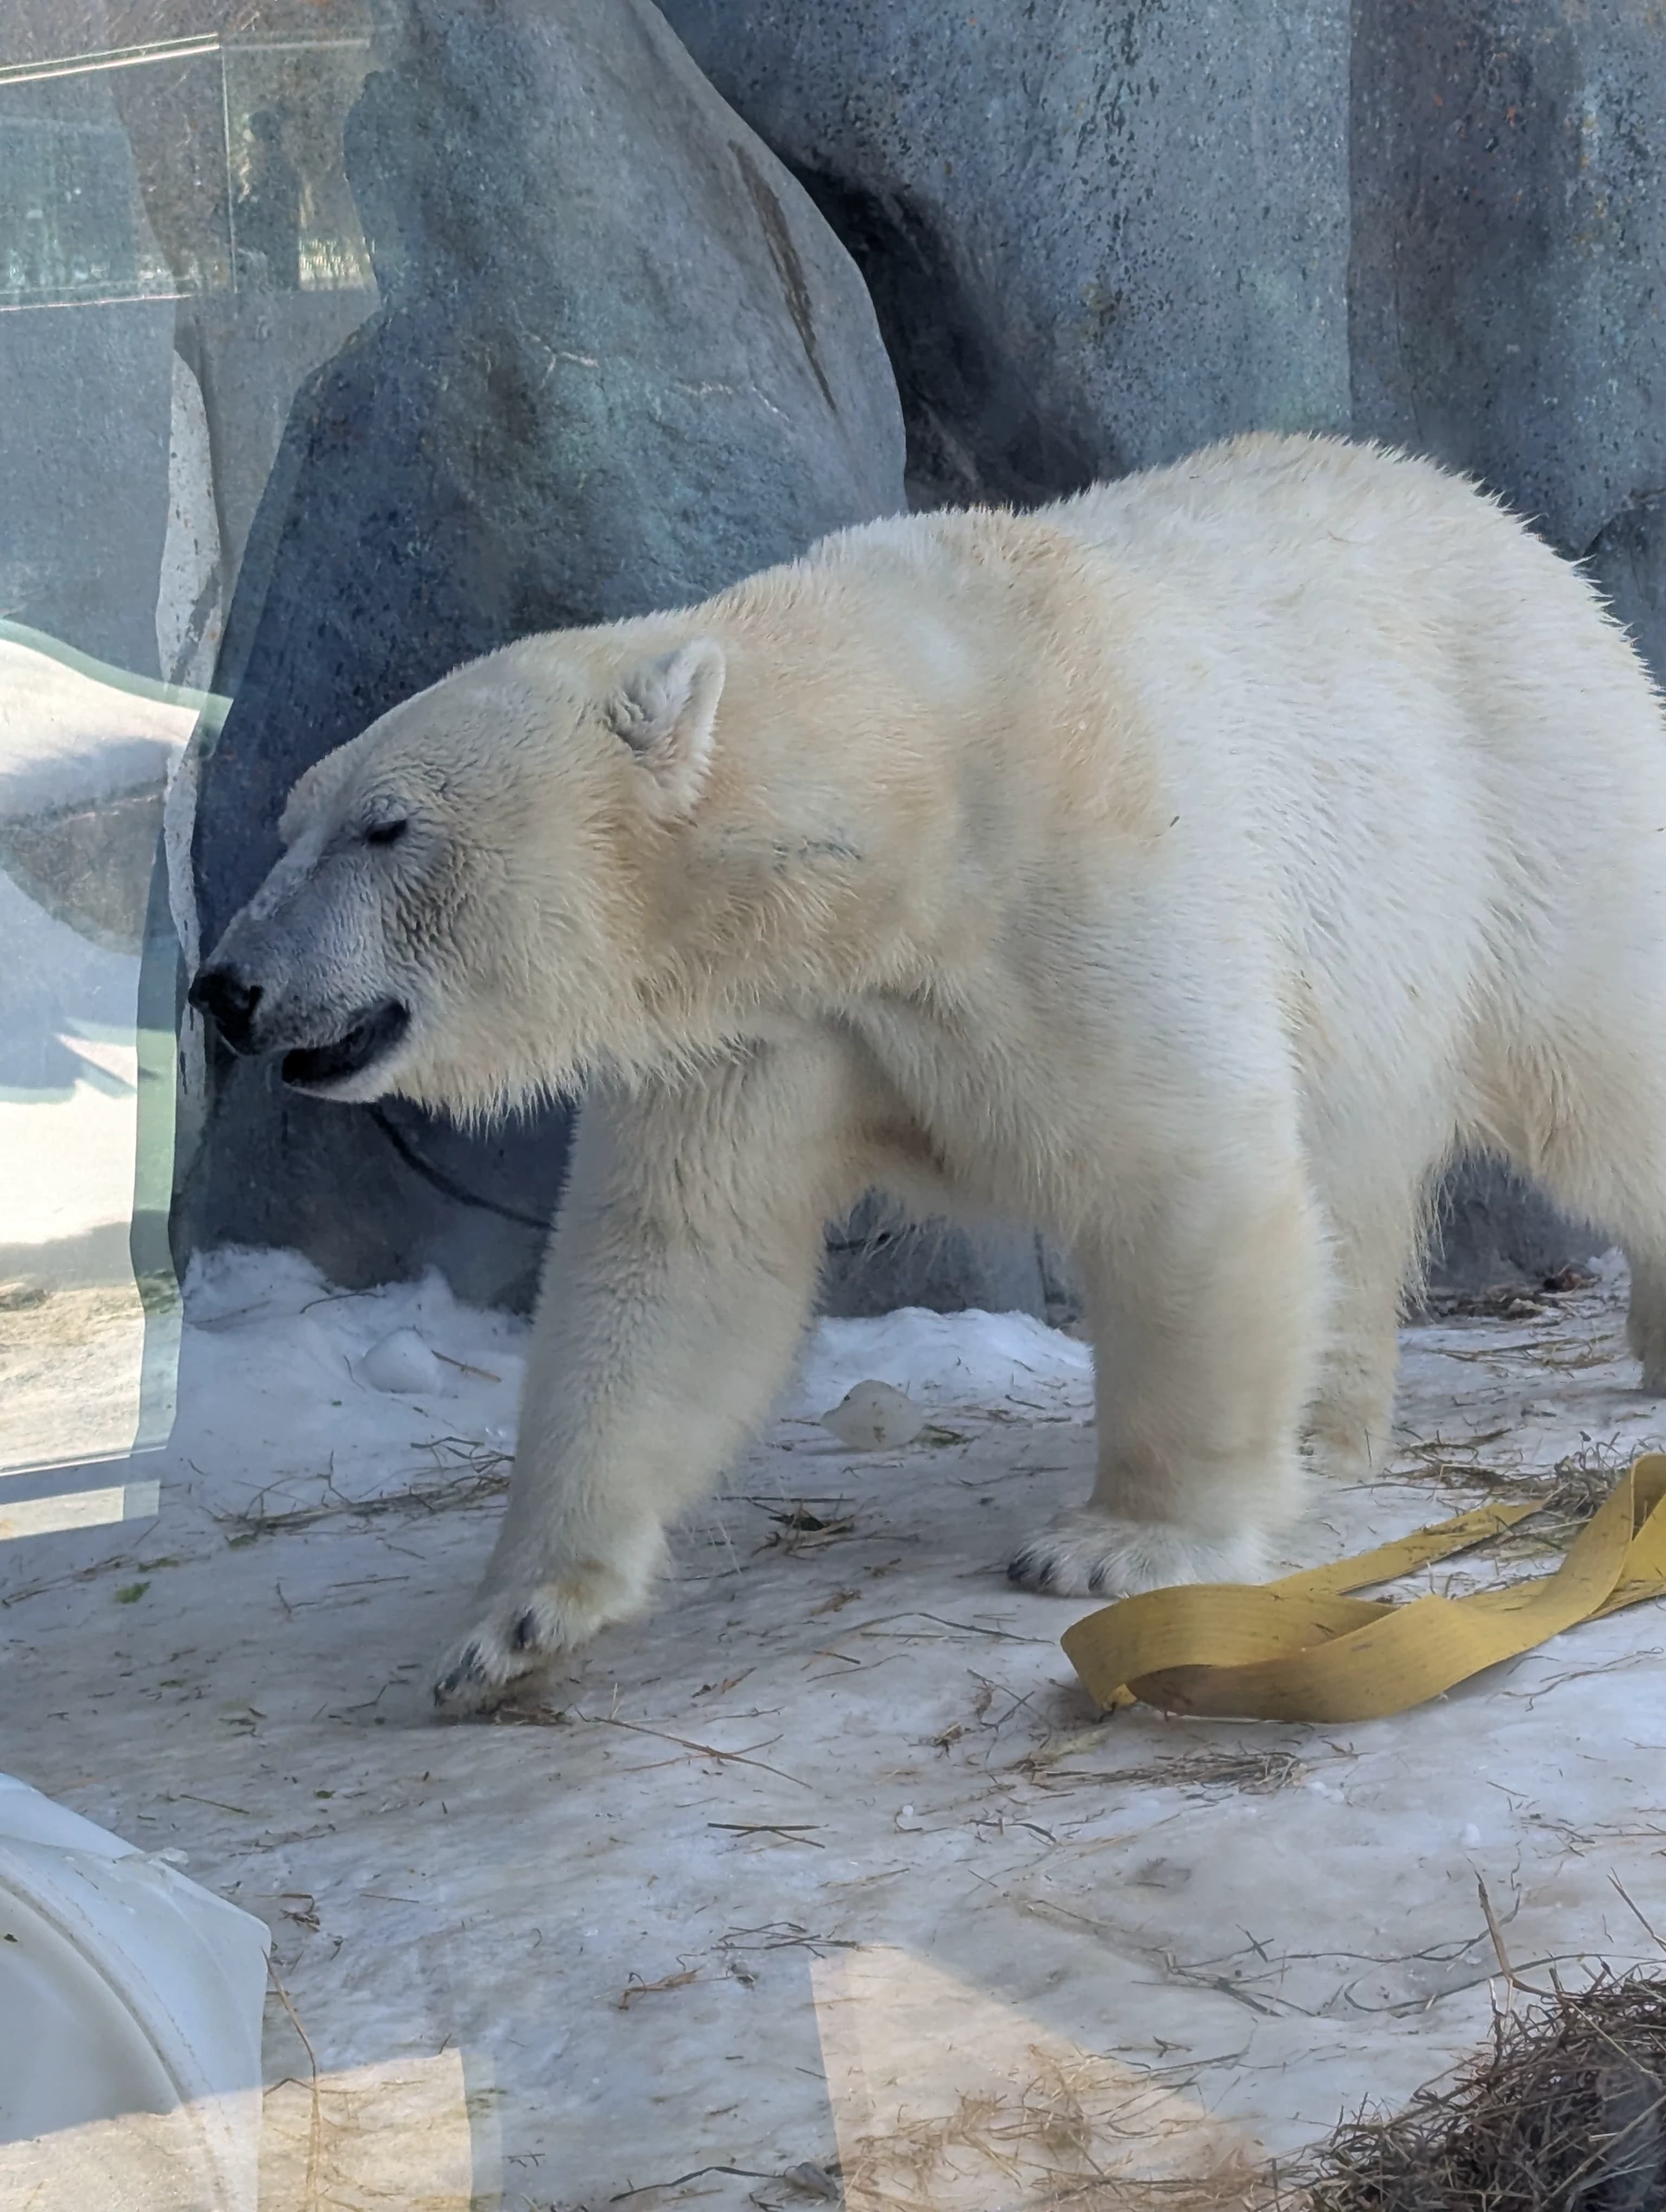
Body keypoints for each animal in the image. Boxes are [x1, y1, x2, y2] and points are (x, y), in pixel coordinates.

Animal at [190, 430, 1666, 1715]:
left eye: (387, 827)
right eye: (293, 819)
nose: (226, 989)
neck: (900, 798)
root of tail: (1518, 537)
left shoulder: (1075, 886)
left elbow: (1182, 1178)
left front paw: (1119, 1544)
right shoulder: (768, 1023)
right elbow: (672, 1263)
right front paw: (516, 1620)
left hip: (1521, 808)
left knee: (1592, 1066)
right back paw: (1326, 1431)